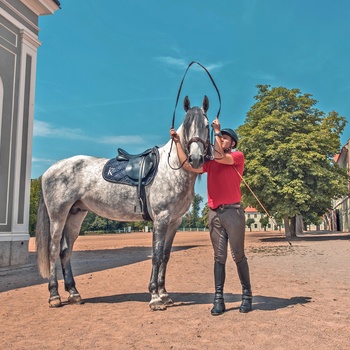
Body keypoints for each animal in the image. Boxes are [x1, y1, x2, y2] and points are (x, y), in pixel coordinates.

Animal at [36, 95, 211, 308]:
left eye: (206, 125)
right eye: (186, 127)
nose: (195, 158)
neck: (172, 169)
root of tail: (50, 170)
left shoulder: (174, 222)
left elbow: (166, 256)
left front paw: (164, 294)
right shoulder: (161, 219)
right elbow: (156, 256)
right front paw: (155, 297)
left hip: (75, 216)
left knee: (65, 252)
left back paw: (74, 293)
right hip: (58, 216)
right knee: (53, 250)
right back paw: (54, 296)